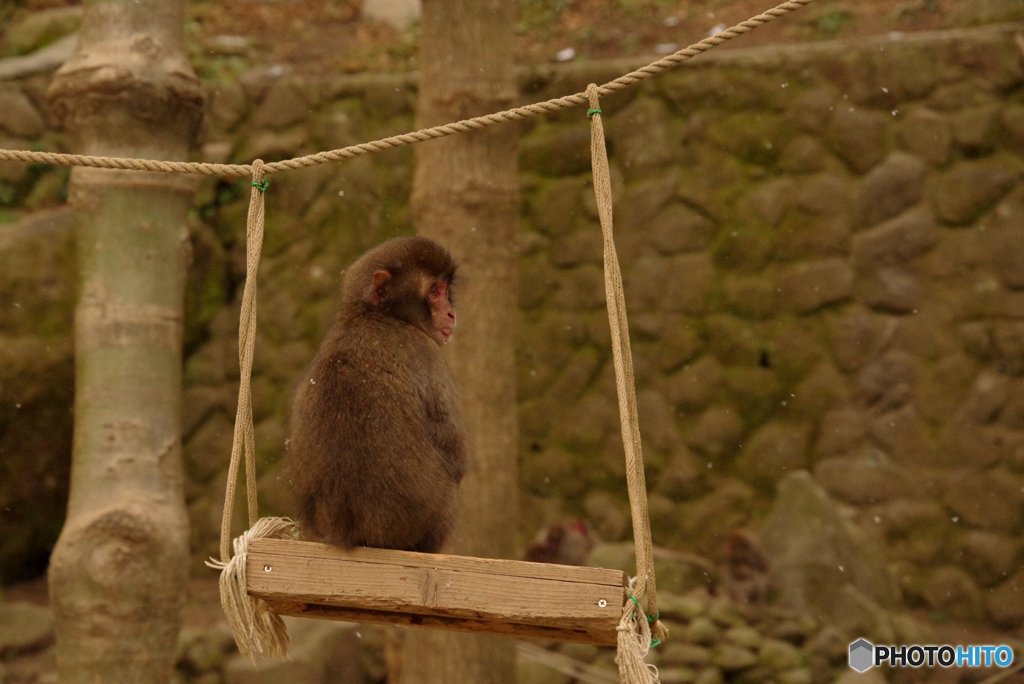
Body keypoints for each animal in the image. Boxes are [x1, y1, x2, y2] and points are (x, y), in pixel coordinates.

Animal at [284, 237, 468, 552]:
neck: (372, 315)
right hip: (423, 523)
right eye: (434, 291)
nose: (451, 313)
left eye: (445, 290)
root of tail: (348, 532)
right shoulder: (426, 353)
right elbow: (456, 451)